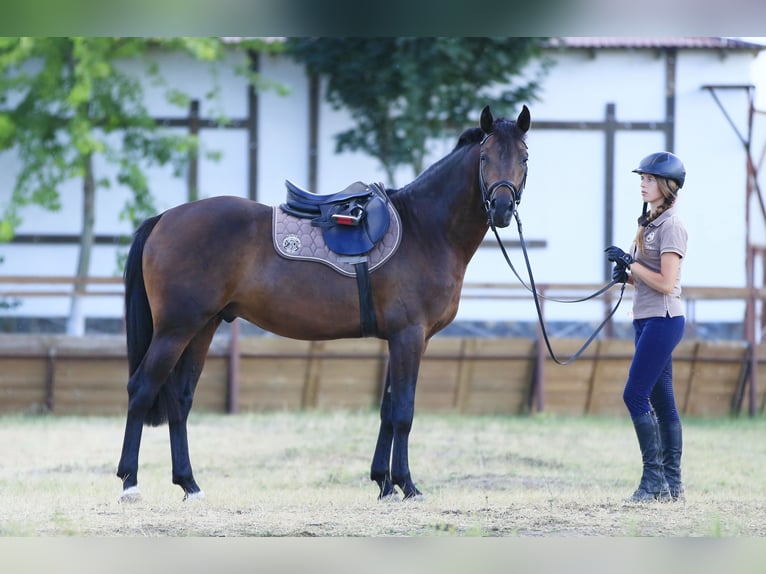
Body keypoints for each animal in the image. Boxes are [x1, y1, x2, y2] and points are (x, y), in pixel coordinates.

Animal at [117, 106, 532, 502]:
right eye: (485, 157)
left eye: (524, 157)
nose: (501, 208)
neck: (425, 229)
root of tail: (165, 219)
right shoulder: (410, 336)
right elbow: (403, 412)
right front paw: (407, 484)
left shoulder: (399, 339)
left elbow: (387, 410)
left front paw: (383, 483)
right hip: (175, 329)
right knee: (141, 389)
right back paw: (129, 483)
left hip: (202, 327)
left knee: (180, 398)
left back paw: (189, 484)